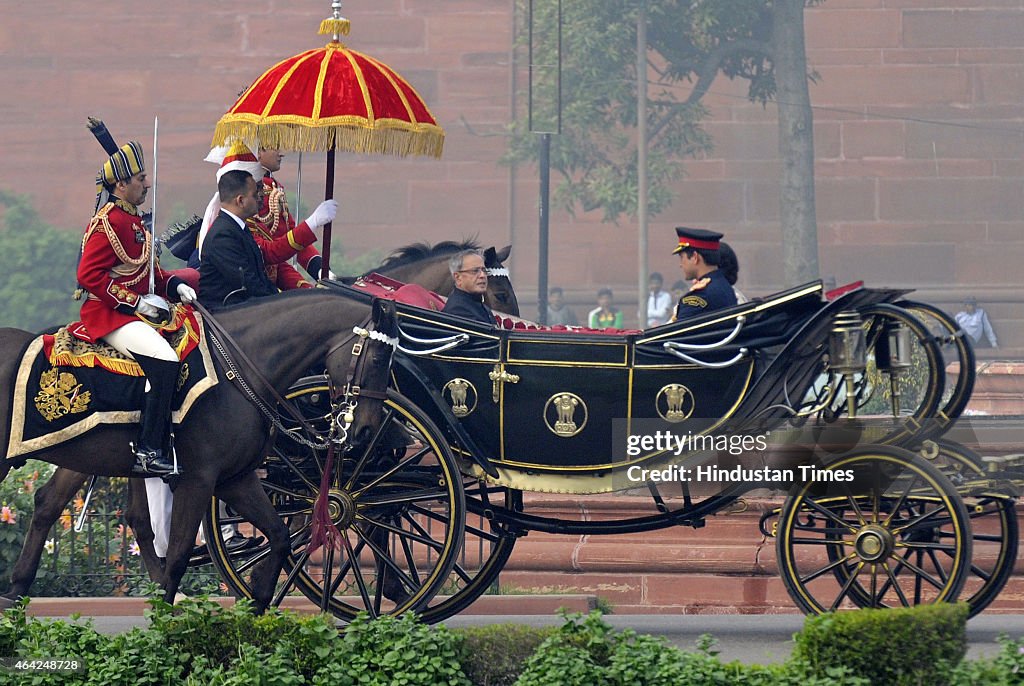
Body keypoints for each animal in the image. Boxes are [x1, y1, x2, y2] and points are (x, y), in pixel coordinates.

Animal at [0, 290, 395, 614]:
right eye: (379, 358)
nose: (366, 430)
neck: (239, 370)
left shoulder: (236, 478)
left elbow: (280, 537)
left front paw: (257, 602)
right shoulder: (198, 479)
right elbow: (177, 554)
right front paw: (165, 618)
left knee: (51, 504)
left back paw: (17, 590)